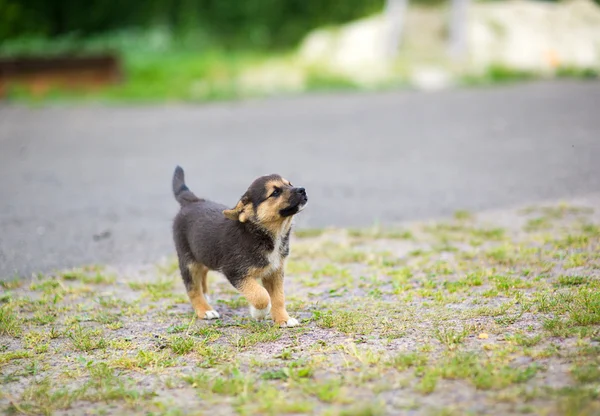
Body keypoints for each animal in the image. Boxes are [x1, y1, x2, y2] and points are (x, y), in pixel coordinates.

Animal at [170, 167, 308, 328]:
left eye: (289, 184)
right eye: (275, 192)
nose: (302, 190)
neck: (263, 233)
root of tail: (192, 201)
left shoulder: (274, 272)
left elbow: (278, 297)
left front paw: (283, 319)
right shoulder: (235, 272)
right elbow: (261, 295)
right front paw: (259, 312)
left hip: (203, 253)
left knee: (202, 273)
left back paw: (205, 296)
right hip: (188, 261)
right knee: (192, 288)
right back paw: (204, 310)